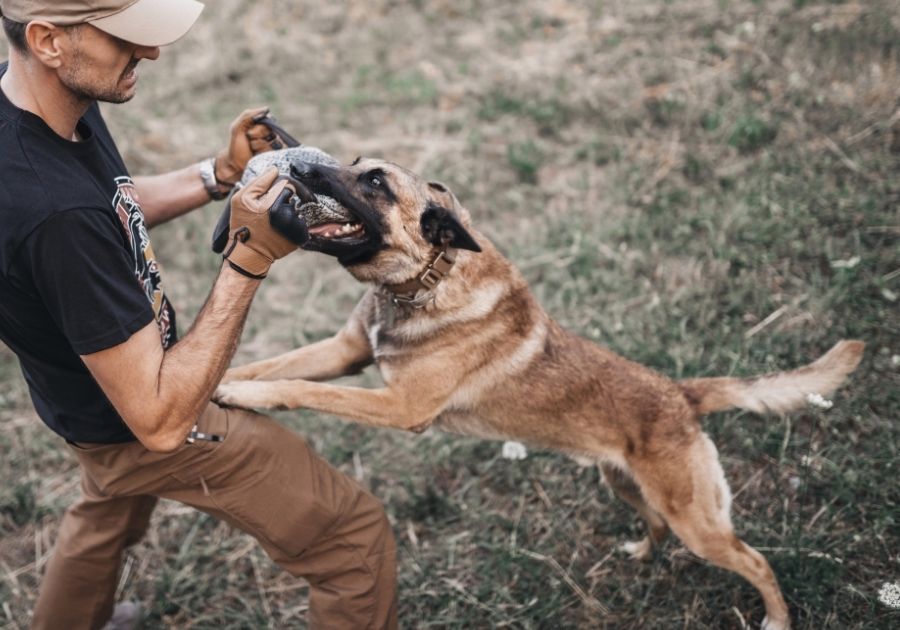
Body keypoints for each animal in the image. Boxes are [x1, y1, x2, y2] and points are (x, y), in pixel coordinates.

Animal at [216, 158, 864, 630]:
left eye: (373, 182)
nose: (302, 166)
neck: (424, 282)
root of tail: (681, 396)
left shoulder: (400, 408)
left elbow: (298, 386)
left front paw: (246, 393)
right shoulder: (345, 351)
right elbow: (277, 364)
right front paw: (222, 381)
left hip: (699, 523)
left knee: (754, 560)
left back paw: (776, 618)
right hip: (624, 483)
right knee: (655, 524)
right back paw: (641, 554)